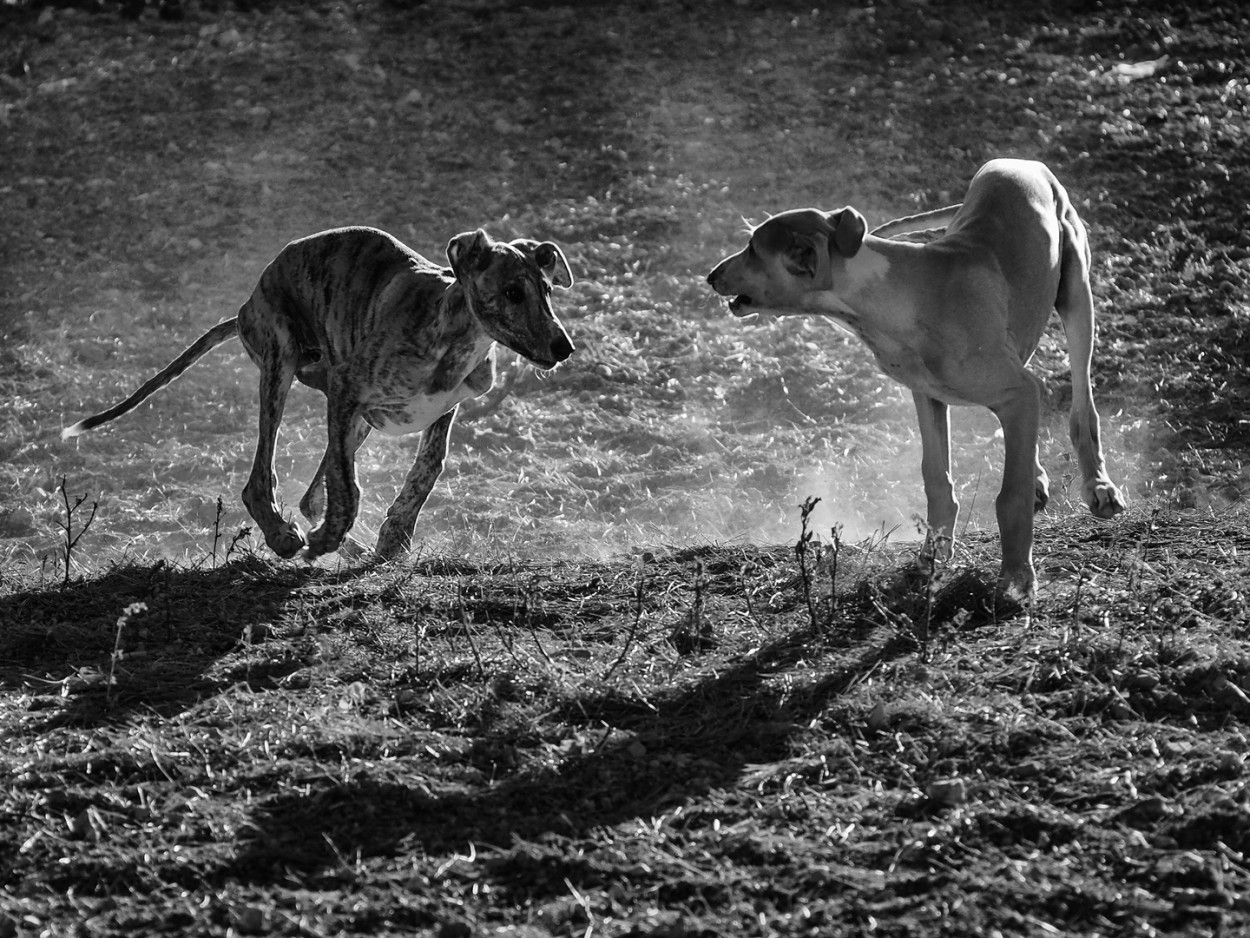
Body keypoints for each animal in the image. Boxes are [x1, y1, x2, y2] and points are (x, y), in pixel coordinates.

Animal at [63, 226, 575, 565]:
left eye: (547, 290)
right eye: (512, 292)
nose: (563, 348)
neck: (452, 332)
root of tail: (244, 308)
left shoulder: (437, 411)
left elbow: (425, 471)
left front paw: (392, 538)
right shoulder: (347, 389)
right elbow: (346, 489)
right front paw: (329, 538)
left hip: (354, 419)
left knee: (311, 495)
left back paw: (342, 543)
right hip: (282, 364)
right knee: (261, 480)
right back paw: (288, 537)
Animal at [710, 158, 1130, 602]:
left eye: (752, 249)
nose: (711, 276)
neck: (896, 295)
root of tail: (1020, 162)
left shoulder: (1015, 392)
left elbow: (1009, 495)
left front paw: (1017, 578)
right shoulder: (929, 396)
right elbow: (936, 478)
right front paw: (932, 560)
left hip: (1076, 296)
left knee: (1082, 406)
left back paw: (1098, 485)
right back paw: (1037, 477)